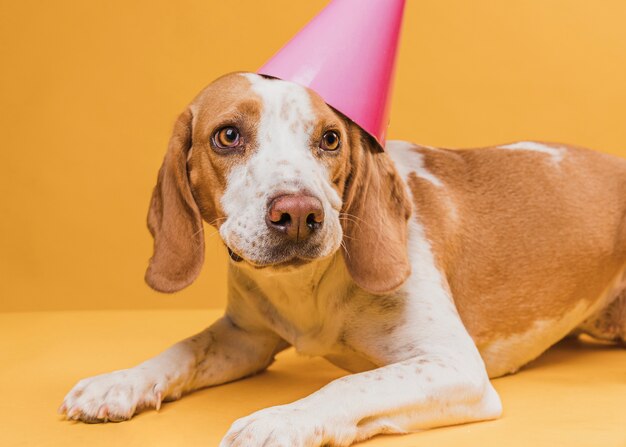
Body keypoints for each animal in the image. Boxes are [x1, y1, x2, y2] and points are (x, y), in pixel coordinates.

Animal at [58, 72, 624, 446]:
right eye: (228, 135)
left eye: (330, 139)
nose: (298, 213)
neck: (306, 286)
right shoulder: (244, 340)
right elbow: (181, 350)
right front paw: (119, 382)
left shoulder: (453, 366)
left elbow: (350, 382)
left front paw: (280, 420)